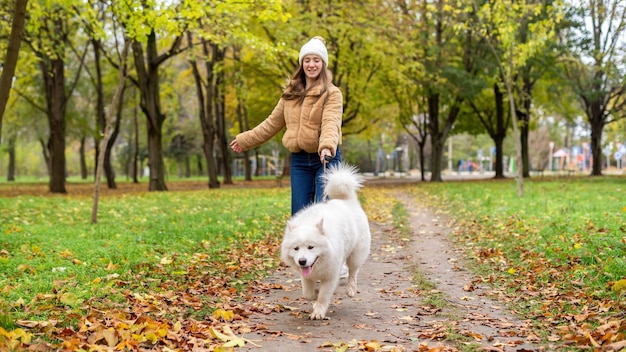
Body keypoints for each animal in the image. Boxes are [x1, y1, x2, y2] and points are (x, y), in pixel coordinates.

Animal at [280, 164, 370, 320]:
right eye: (296, 248)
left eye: (311, 247)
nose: (302, 261)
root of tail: (346, 200)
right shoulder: (307, 276)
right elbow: (308, 294)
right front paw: (314, 295)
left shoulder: (330, 276)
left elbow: (323, 296)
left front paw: (318, 312)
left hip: (355, 254)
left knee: (353, 272)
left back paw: (351, 289)